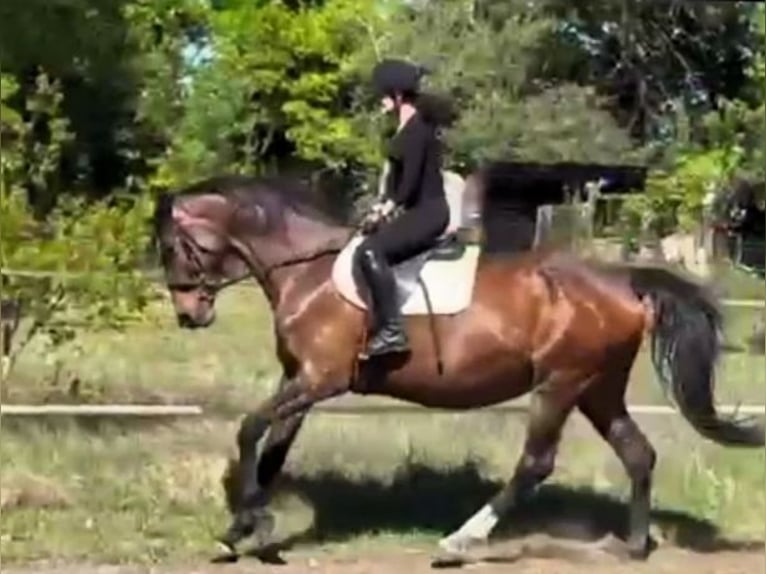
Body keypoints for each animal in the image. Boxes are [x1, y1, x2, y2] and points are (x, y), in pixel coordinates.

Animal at [151, 173, 763, 563]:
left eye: (174, 247)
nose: (188, 314)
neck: (311, 272)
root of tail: (621, 281)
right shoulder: (298, 380)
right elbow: (274, 446)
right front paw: (246, 526)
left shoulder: (320, 379)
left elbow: (250, 428)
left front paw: (250, 520)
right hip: (597, 388)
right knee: (637, 453)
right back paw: (630, 547)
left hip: (559, 385)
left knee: (535, 464)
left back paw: (459, 542)